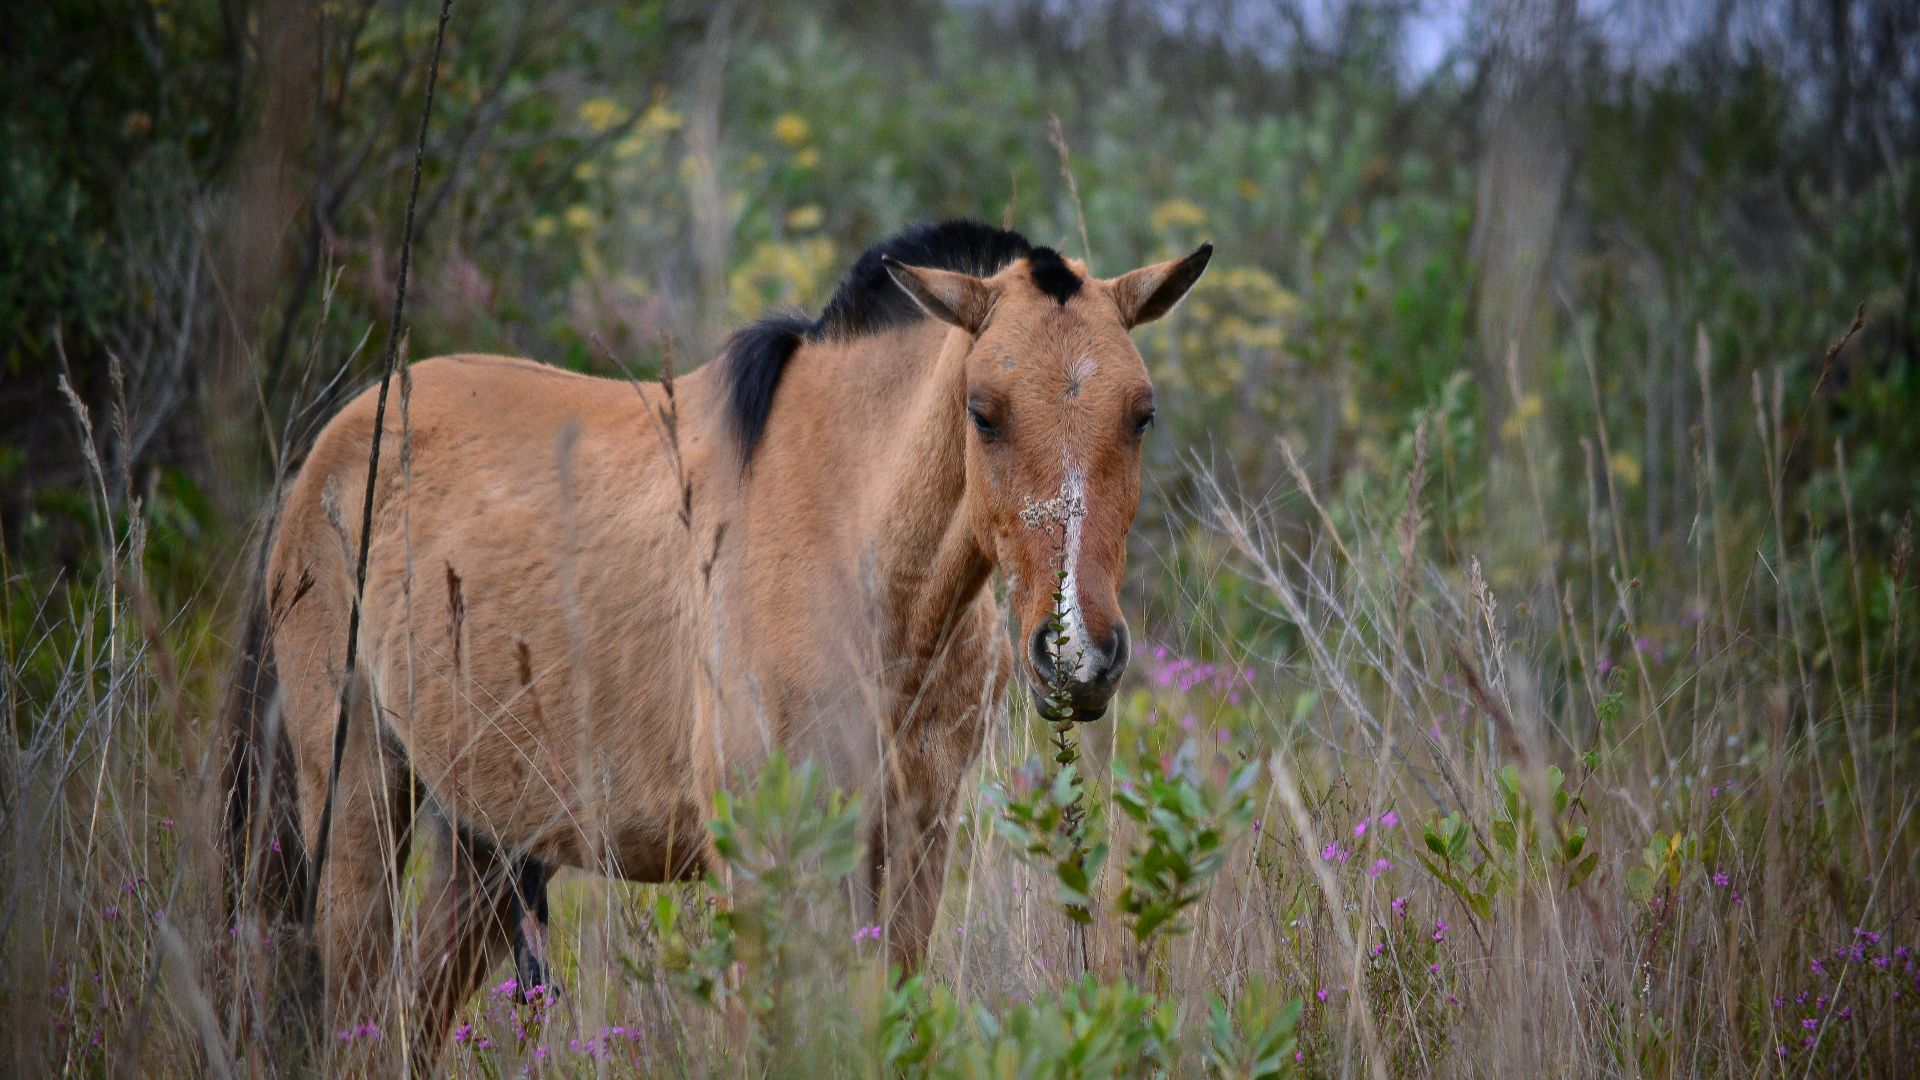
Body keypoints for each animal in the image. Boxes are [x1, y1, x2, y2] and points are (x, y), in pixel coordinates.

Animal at [224, 219, 1210, 1063]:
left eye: (1142, 414)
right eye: (985, 410)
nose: (1076, 655)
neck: (853, 545)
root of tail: (328, 454)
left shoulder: (913, 851)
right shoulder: (763, 870)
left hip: (488, 848)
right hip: (358, 807)